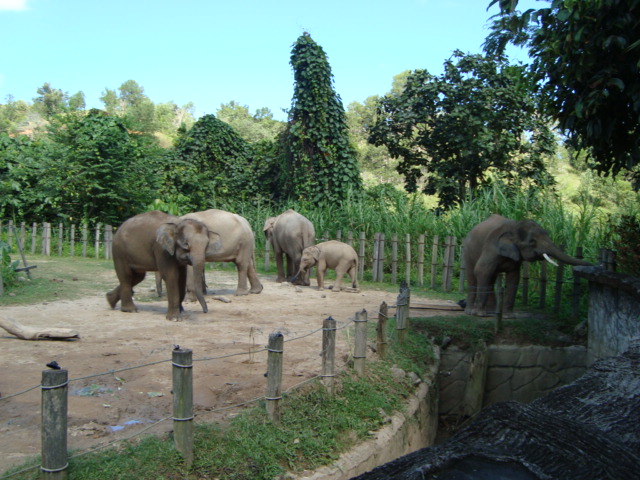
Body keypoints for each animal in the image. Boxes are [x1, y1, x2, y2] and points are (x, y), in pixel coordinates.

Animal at [462, 214, 592, 318]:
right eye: (532, 241)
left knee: (491, 278)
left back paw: (493, 312)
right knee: (473, 274)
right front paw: (479, 314)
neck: (515, 225)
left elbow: (514, 277)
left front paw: (509, 316)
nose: (591, 264)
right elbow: (481, 271)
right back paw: (472, 312)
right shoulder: (491, 248)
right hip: (468, 251)